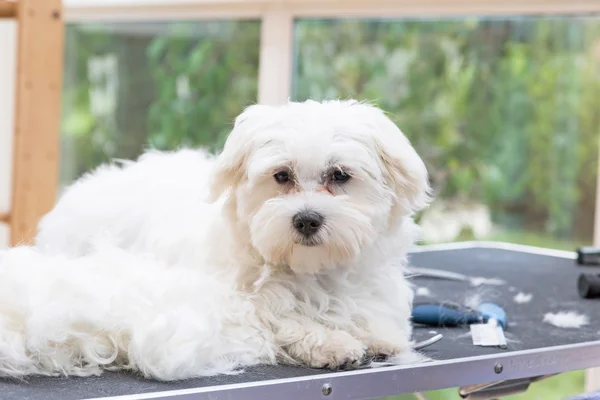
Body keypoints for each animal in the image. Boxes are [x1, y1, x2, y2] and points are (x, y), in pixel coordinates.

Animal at [0, 98, 432, 380]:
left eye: (339, 175)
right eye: (281, 176)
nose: (307, 219)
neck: (311, 270)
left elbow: (371, 312)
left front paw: (377, 334)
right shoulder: (233, 301)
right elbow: (281, 319)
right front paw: (331, 343)